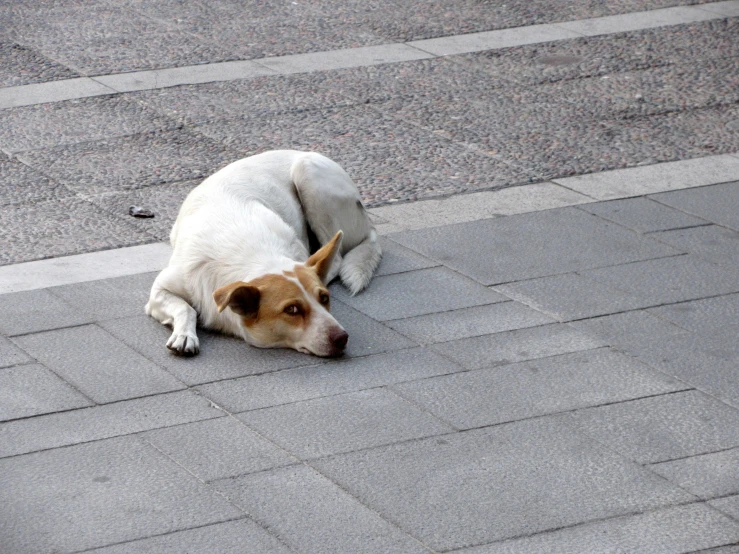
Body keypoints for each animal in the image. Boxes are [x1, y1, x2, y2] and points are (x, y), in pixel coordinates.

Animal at [148, 149, 384, 356]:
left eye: (324, 298)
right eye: (292, 310)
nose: (342, 337)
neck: (253, 253)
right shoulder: (160, 290)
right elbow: (186, 308)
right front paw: (185, 336)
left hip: (308, 174)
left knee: (336, 259)